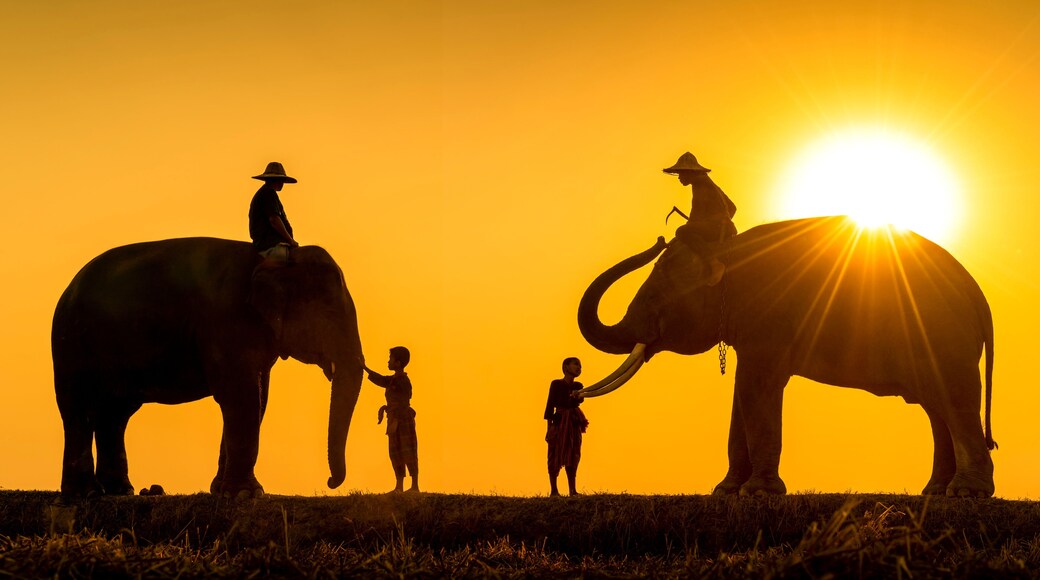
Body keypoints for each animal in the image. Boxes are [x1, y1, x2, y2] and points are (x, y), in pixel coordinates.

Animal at [51, 237, 364, 499]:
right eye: (329, 312)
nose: (330, 482)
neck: (270, 261)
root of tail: (68, 288)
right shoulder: (227, 320)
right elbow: (241, 397)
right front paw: (245, 495)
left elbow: (258, 398)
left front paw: (222, 491)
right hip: (71, 344)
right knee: (79, 409)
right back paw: (85, 494)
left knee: (114, 414)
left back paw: (119, 491)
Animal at [577, 216, 995, 497]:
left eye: (653, 296)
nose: (661, 237)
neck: (726, 250)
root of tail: (977, 294)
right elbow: (742, 394)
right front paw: (726, 492)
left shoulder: (768, 322)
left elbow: (756, 387)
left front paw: (758, 493)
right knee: (937, 409)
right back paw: (936, 492)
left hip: (945, 339)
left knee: (954, 402)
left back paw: (967, 493)